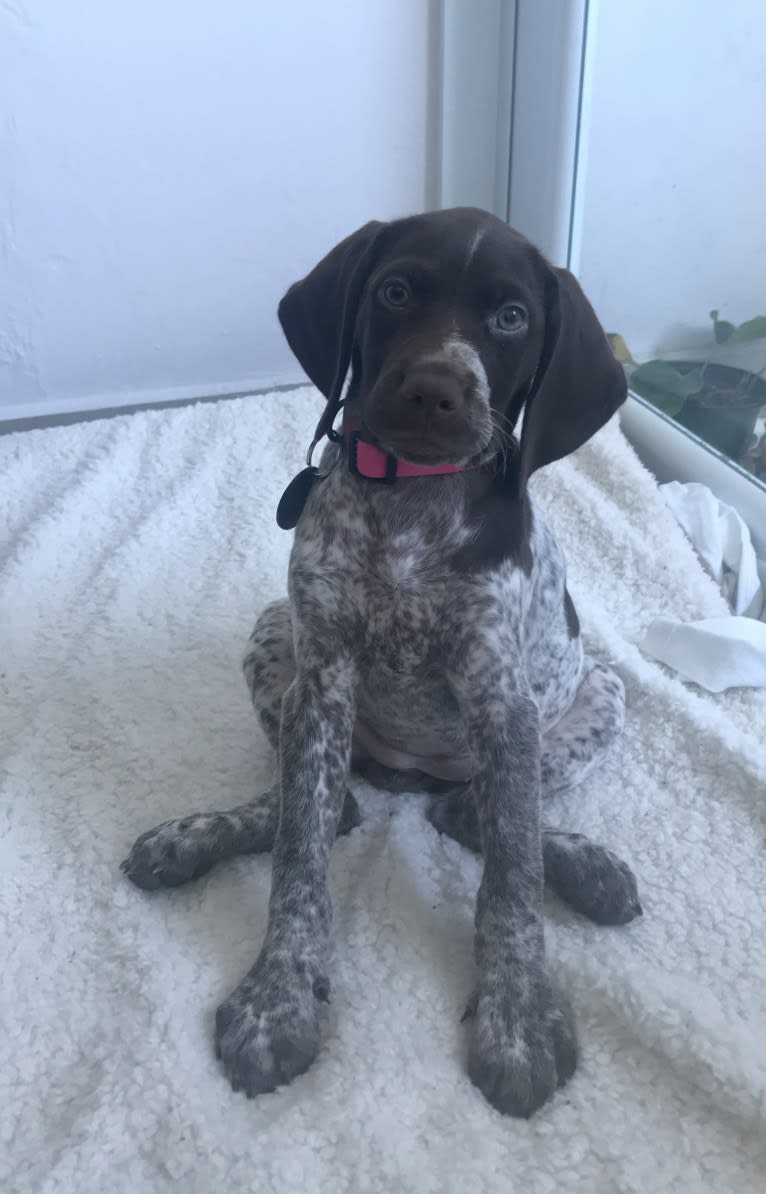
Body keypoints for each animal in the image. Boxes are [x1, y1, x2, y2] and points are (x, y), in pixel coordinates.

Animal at [125, 207, 639, 1117]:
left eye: (512, 318)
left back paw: (587, 865)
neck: (413, 504)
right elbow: (298, 854)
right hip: (280, 643)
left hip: (597, 694)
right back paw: (191, 838)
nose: (435, 388)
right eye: (396, 291)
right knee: (331, 810)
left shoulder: (503, 703)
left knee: (476, 817)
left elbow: (513, 873)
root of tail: (409, 775)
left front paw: (517, 1015)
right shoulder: (324, 678)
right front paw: (278, 997)